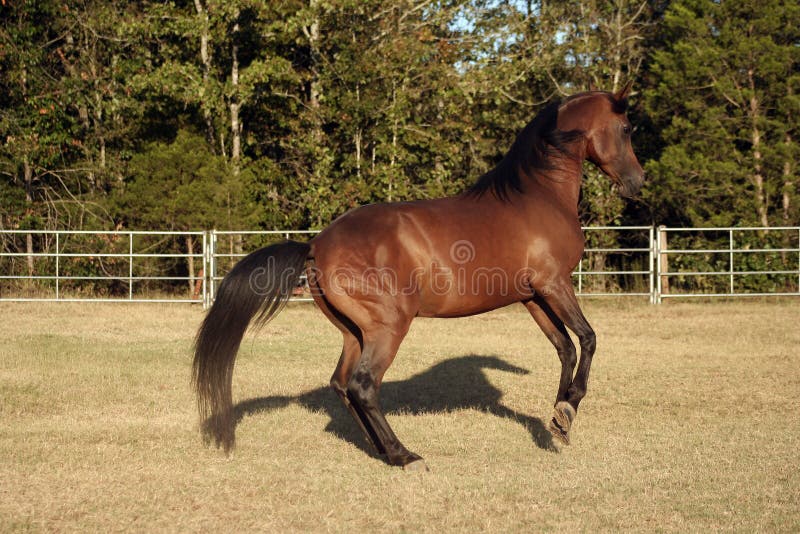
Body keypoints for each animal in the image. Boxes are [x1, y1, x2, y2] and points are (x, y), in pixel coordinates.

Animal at [193, 83, 645, 471]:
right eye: (625, 129)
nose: (637, 183)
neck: (538, 196)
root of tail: (316, 245)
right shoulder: (555, 284)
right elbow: (588, 339)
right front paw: (568, 408)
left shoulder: (532, 296)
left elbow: (564, 348)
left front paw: (559, 419)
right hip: (389, 326)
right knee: (362, 385)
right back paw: (404, 455)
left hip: (354, 331)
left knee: (342, 384)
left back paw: (381, 450)